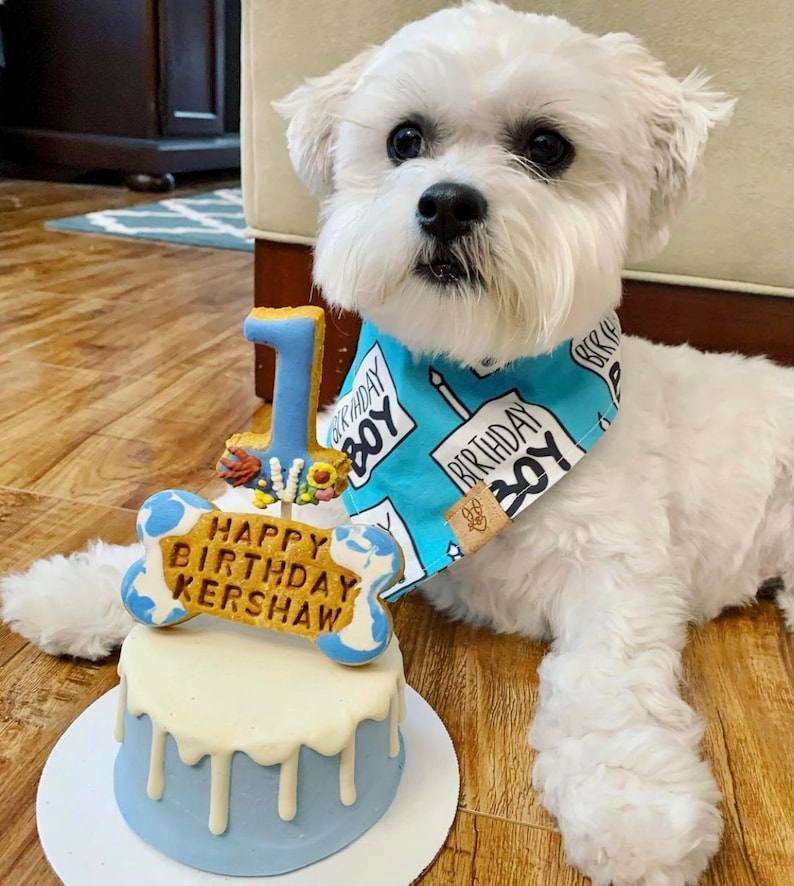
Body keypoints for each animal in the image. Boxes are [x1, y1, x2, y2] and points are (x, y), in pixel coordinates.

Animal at [1, 1, 792, 886]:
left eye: (548, 147)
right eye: (405, 139)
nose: (446, 203)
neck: (469, 371)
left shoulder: (619, 572)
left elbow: (609, 683)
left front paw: (634, 809)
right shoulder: (347, 487)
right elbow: (229, 520)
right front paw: (76, 591)